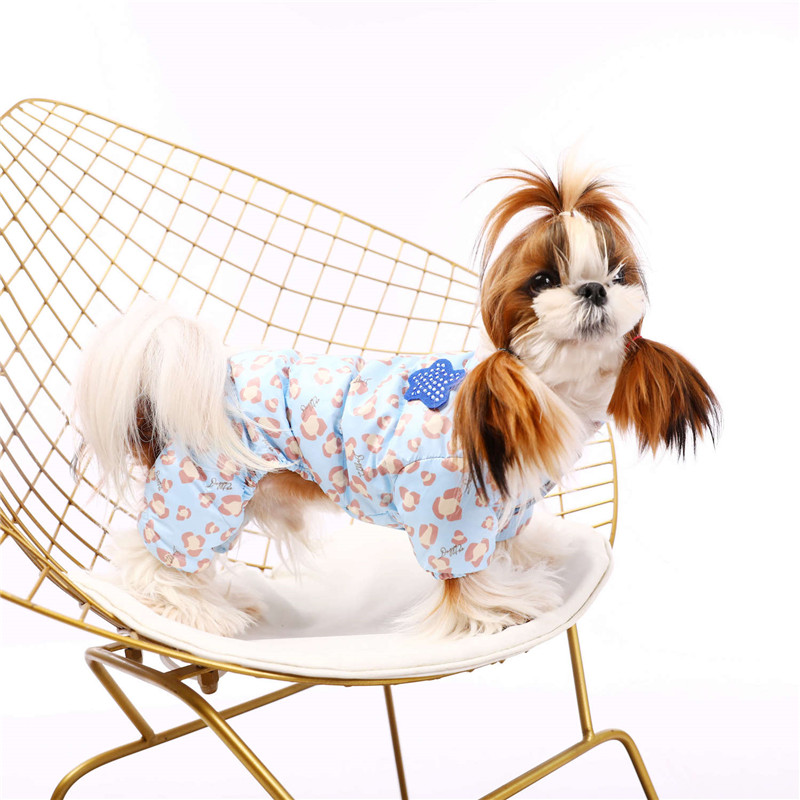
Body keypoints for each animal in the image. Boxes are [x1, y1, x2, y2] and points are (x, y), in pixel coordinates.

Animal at [73, 158, 719, 637]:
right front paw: (504, 607)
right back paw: (198, 609)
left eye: (618, 274)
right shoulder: (451, 511)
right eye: (541, 281)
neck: (538, 390)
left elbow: (513, 538)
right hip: (202, 494)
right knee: (152, 559)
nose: (592, 290)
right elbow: (465, 579)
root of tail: (159, 401)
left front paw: (533, 556)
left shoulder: (509, 502)